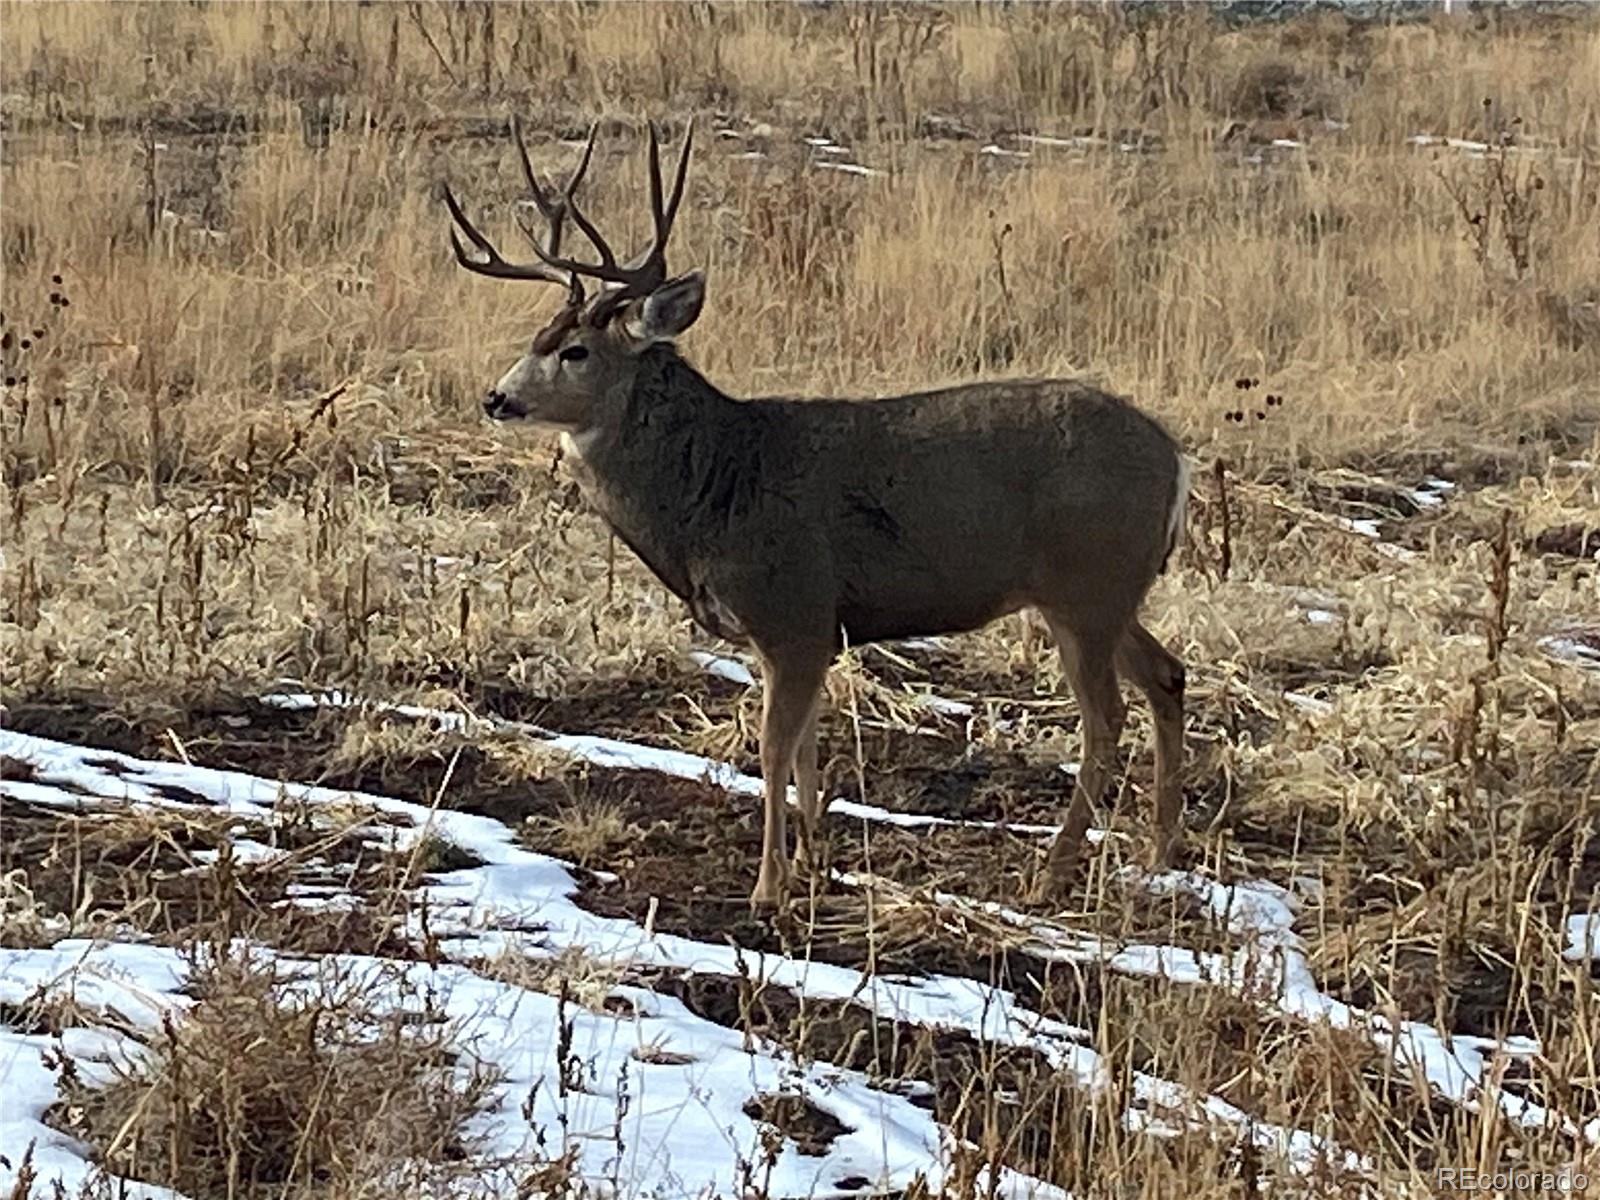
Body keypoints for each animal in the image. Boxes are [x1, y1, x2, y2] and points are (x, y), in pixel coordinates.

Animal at [438, 120, 1190, 908]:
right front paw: (812, 860)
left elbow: (772, 750)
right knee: (1168, 675)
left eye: (577, 351)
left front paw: (767, 888)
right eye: (537, 338)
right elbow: (804, 749)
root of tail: (1176, 459)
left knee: (1105, 720)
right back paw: (1158, 853)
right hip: (1104, 593)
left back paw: (1053, 875)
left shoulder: (793, 609)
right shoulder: (810, 630)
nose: (497, 397)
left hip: (1086, 585)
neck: (719, 485)